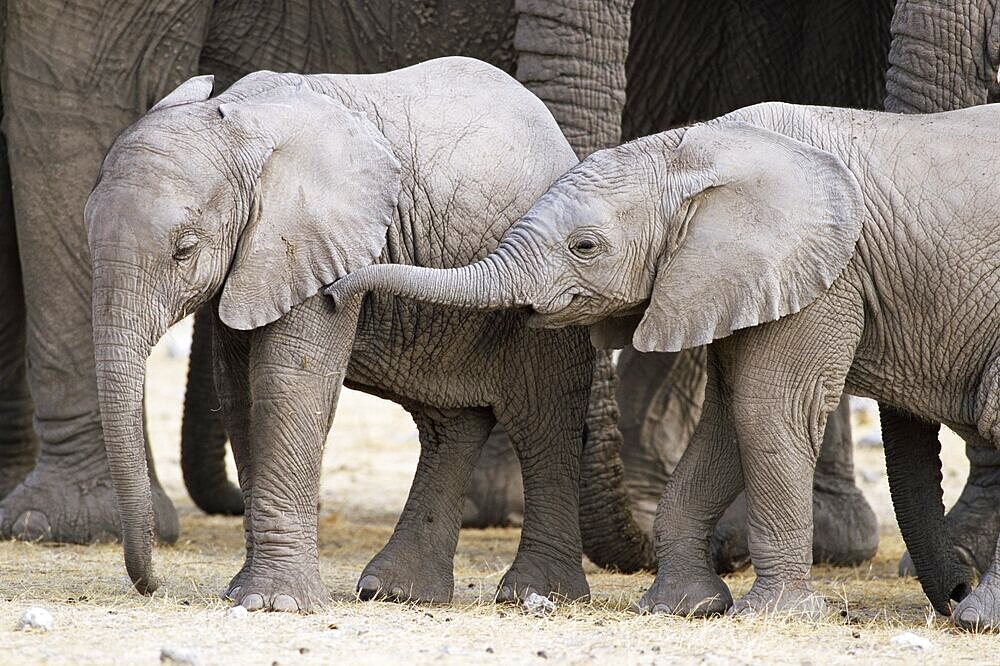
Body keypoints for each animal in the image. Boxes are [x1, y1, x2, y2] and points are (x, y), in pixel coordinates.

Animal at [86, 58, 592, 612]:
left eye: (184, 250)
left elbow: (287, 384)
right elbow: (240, 394)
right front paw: (244, 592)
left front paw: (275, 604)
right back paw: (397, 592)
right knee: (449, 424)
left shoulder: (315, 243)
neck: (241, 123)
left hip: (552, 292)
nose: (153, 584)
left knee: (543, 420)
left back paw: (534, 593)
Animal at [332, 100, 1000, 628]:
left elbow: (769, 409)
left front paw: (774, 615)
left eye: (585, 247)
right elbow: (729, 418)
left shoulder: (825, 274)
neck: (699, 150)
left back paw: (976, 618)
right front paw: (686, 607)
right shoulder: (732, 278)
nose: (339, 290)